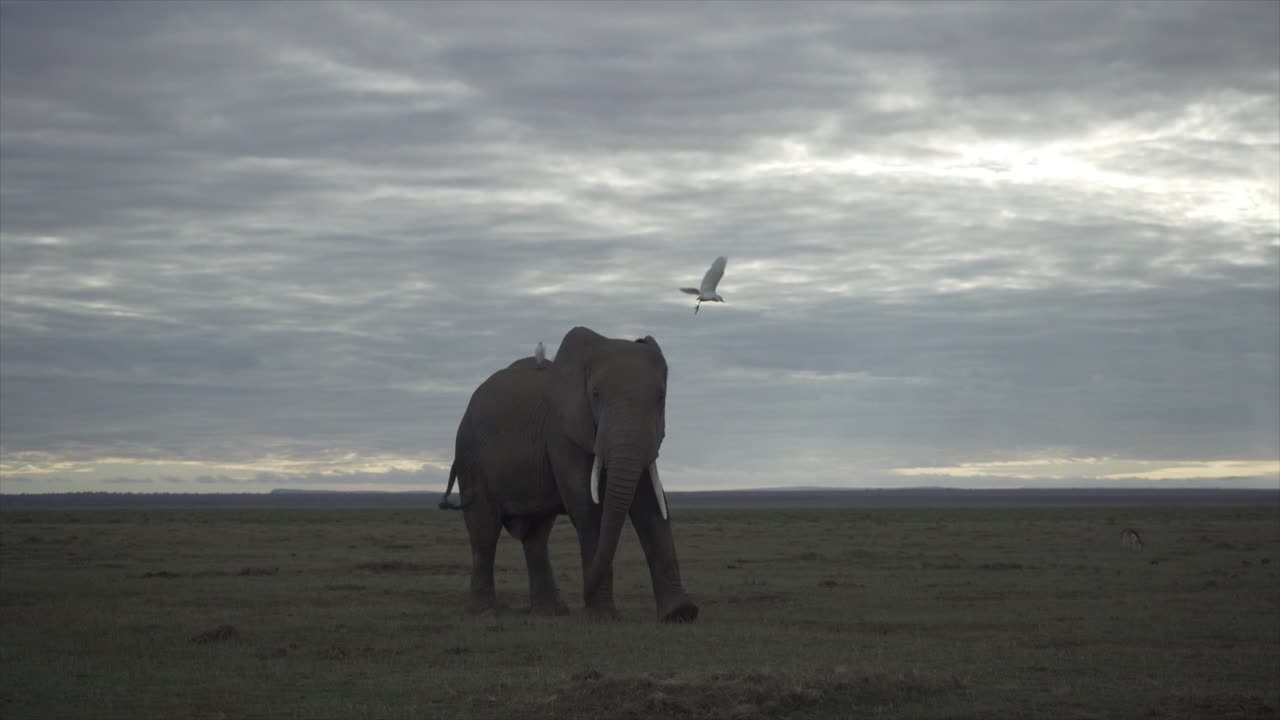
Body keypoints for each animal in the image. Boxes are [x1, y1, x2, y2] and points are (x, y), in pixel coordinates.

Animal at [438, 326, 698, 623]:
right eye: (595, 394)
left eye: (661, 398)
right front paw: (603, 616)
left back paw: (550, 612)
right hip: (471, 460)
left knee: (536, 536)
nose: (583, 598)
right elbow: (587, 507)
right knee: (485, 532)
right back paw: (485, 611)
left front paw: (681, 614)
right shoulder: (561, 432)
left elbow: (651, 506)